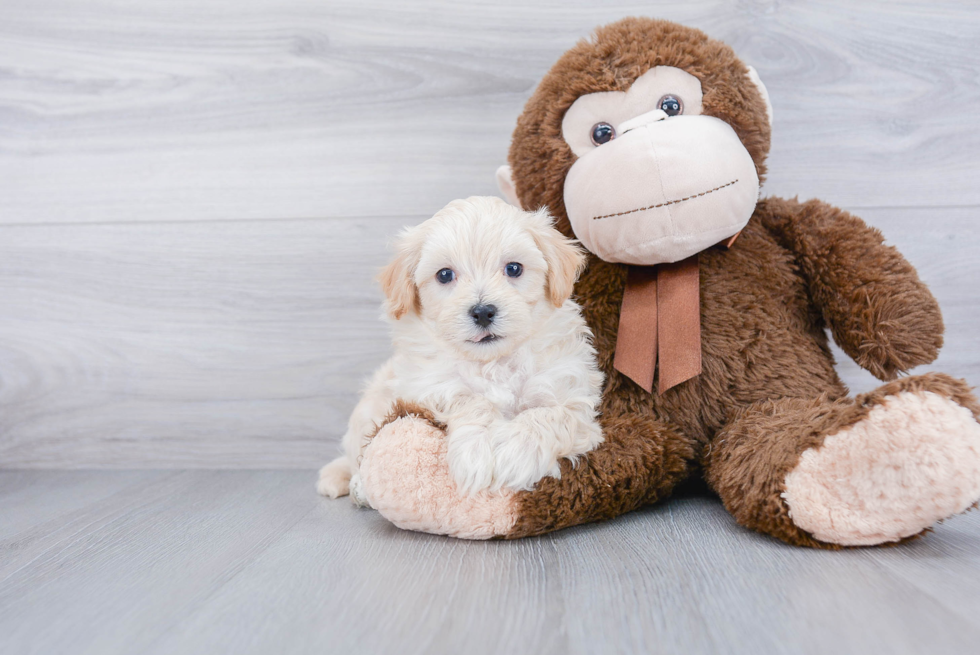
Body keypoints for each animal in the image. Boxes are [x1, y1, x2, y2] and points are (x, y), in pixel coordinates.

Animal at [318, 195, 600, 502]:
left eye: (514, 268)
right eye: (444, 275)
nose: (483, 312)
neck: (493, 363)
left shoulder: (571, 396)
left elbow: (549, 415)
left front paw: (516, 455)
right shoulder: (427, 387)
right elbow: (469, 400)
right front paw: (477, 453)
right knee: (355, 455)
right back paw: (348, 483)